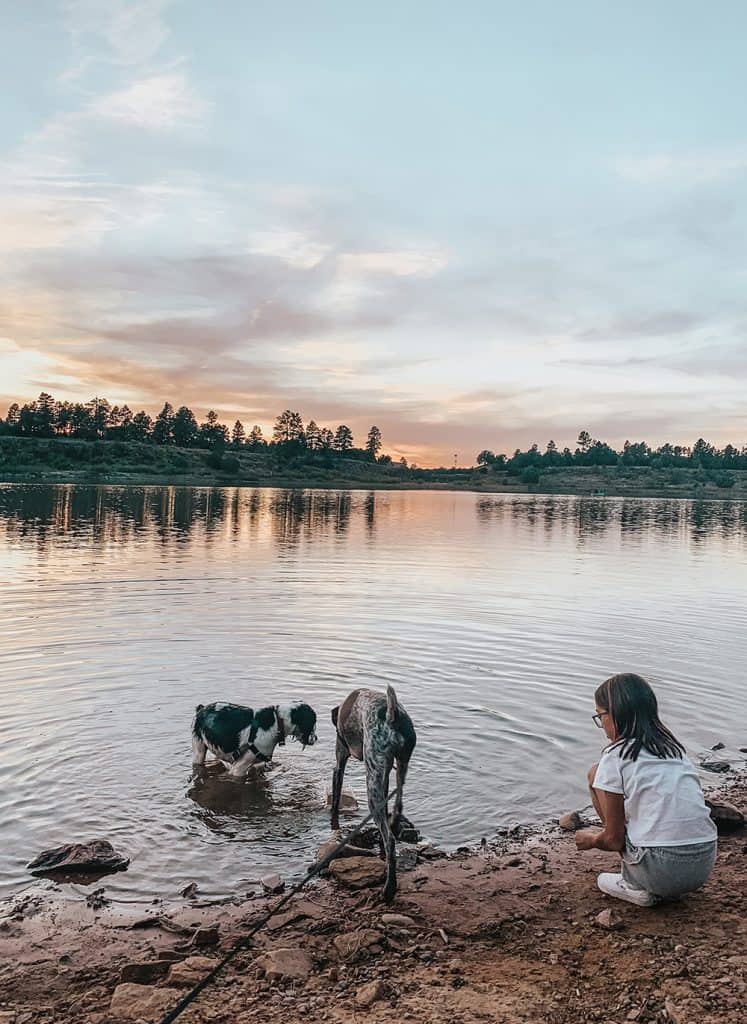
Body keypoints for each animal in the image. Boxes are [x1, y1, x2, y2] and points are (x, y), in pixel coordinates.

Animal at [329, 688, 416, 905]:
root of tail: (392, 715)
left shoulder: (339, 763)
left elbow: (335, 800)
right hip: (399, 767)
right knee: (397, 807)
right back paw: (393, 824)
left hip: (372, 780)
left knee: (390, 840)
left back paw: (388, 890)